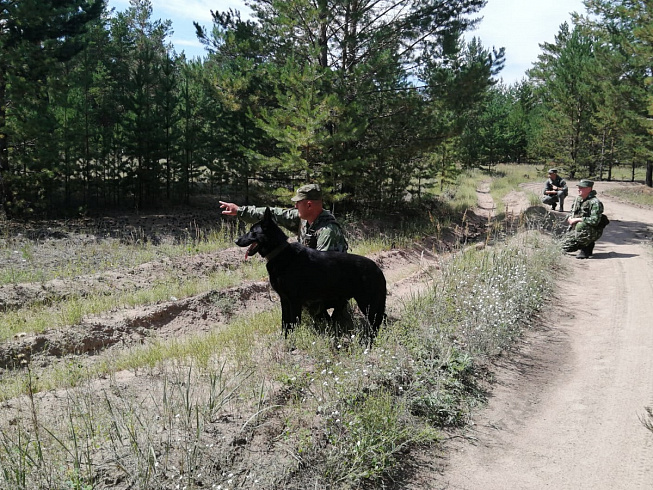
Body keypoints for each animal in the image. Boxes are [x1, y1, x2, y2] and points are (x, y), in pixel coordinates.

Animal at [236, 209, 384, 338]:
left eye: (252, 232)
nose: (236, 240)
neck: (280, 253)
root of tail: (377, 268)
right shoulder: (284, 300)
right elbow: (285, 324)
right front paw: (284, 339)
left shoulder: (294, 301)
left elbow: (293, 324)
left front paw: (292, 343)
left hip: (368, 305)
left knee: (375, 325)